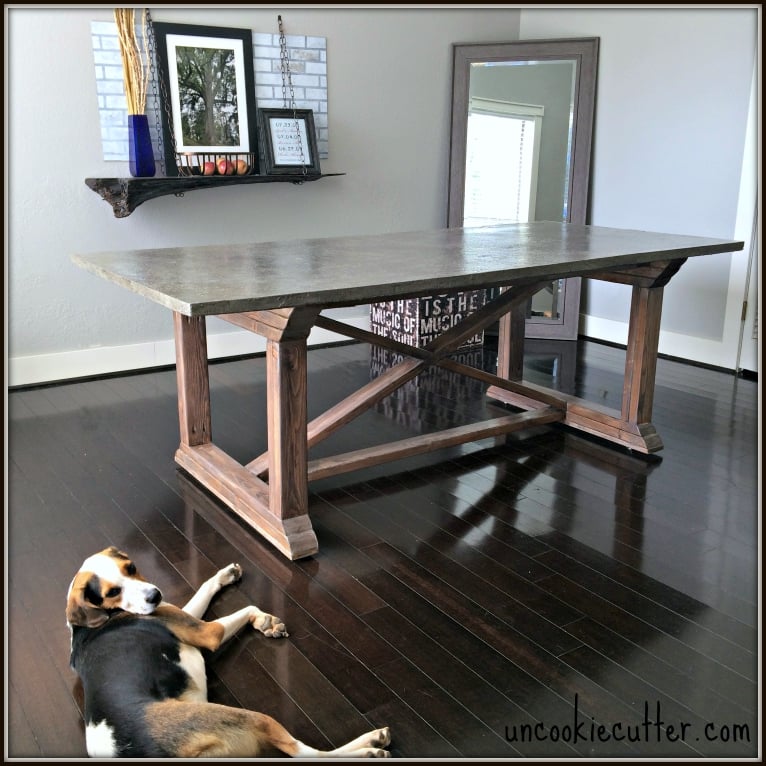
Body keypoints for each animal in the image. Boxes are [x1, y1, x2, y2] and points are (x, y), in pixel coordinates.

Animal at [67, 548, 392, 760]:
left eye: (131, 568)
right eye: (112, 592)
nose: (155, 596)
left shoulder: (185, 615)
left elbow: (203, 589)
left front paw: (225, 576)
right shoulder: (208, 632)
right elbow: (246, 608)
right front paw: (264, 620)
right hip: (243, 717)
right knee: (304, 753)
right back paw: (369, 746)